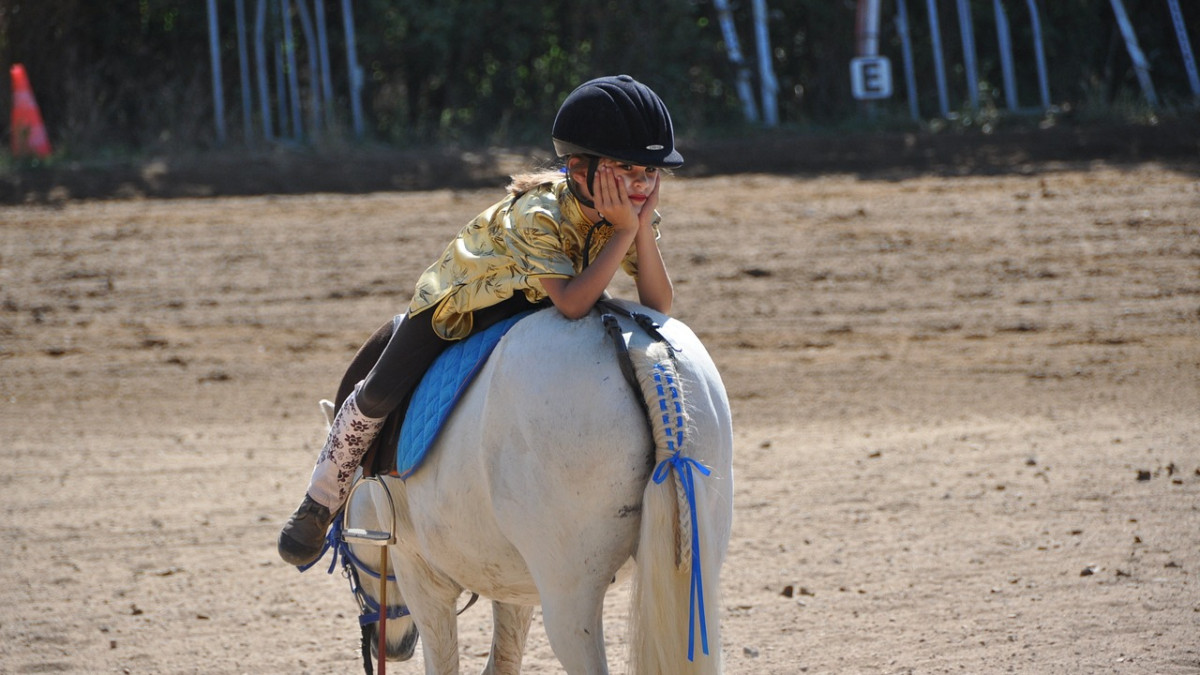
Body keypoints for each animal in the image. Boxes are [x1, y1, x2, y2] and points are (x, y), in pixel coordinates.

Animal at [336, 302, 729, 672]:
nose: (391, 648)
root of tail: (646, 354)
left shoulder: (419, 574)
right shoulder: (514, 585)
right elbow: (503, 661)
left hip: (569, 604)